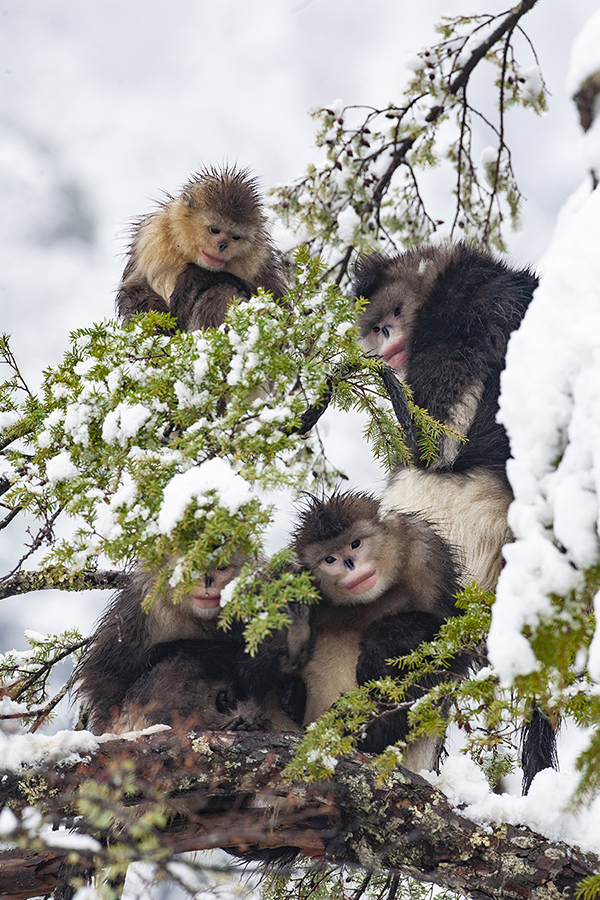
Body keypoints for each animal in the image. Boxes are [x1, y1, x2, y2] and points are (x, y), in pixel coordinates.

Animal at [118, 164, 288, 330]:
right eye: (214, 230)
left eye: (235, 237)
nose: (223, 245)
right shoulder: (149, 236)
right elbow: (133, 287)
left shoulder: (259, 260)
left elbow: (282, 313)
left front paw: (193, 279)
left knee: (222, 290)